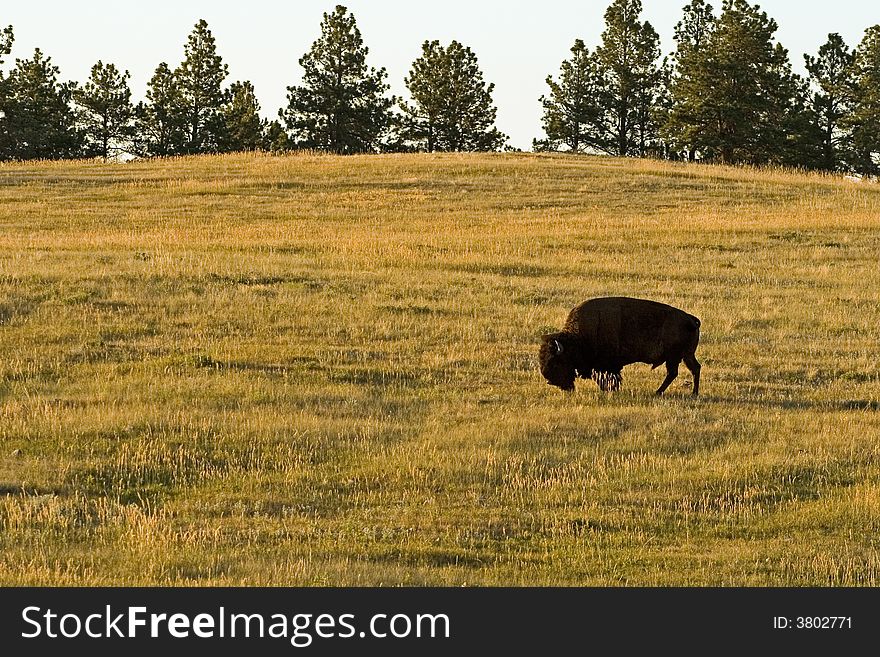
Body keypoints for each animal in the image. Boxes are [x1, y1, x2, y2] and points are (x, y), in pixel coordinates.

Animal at [536, 296, 700, 394]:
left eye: (555, 361)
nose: (550, 380)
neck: (578, 338)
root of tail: (690, 319)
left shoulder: (607, 365)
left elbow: (610, 377)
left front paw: (611, 389)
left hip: (674, 357)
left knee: (674, 373)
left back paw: (658, 392)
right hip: (686, 355)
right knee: (694, 368)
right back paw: (693, 393)